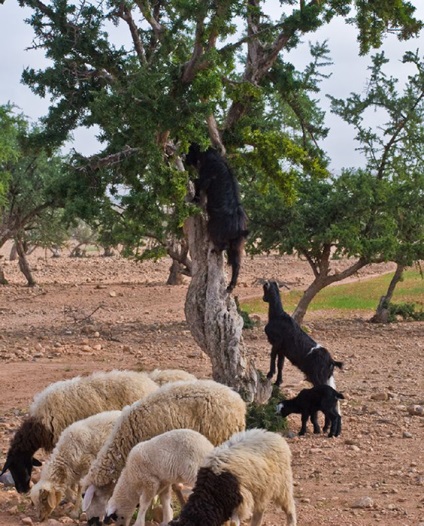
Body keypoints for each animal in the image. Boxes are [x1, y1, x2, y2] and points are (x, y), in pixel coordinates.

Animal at [186, 143, 248, 292]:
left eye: (190, 150)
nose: (185, 158)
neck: (209, 155)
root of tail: (239, 229)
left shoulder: (205, 178)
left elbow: (197, 183)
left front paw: (195, 198)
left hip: (215, 229)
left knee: (224, 246)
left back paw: (215, 250)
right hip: (237, 244)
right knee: (237, 263)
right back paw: (230, 286)